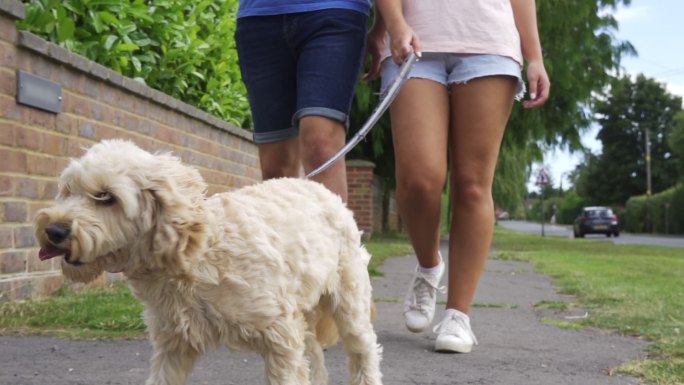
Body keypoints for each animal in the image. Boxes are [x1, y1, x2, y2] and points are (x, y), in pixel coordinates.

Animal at [34, 140, 382, 384]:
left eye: (106, 197)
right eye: (67, 190)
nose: (53, 230)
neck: (194, 256)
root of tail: (322, 190)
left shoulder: (280, 338)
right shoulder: (173, 345)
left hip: (348, 304)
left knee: (363, 352)